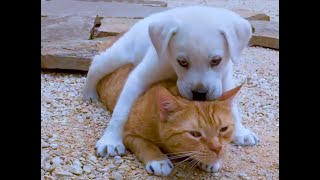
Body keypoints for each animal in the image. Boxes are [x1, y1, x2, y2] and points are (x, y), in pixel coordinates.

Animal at [83, 5, 258, 158]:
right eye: (182, 62)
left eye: (216, 61)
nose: (199, 94)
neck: (173, 71)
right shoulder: (138, 78)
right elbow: (121, 111)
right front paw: (111, 140)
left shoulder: (225, 80)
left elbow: (232, 108)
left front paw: (241, 132)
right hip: (119, 56)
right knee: (97, 64)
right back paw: (89, 93)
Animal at [97, 64, 242, 176]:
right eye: (195, 134)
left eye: (223, 129)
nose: (217, 149)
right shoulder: (128, 133)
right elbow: (145, 144)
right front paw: (158, 160)